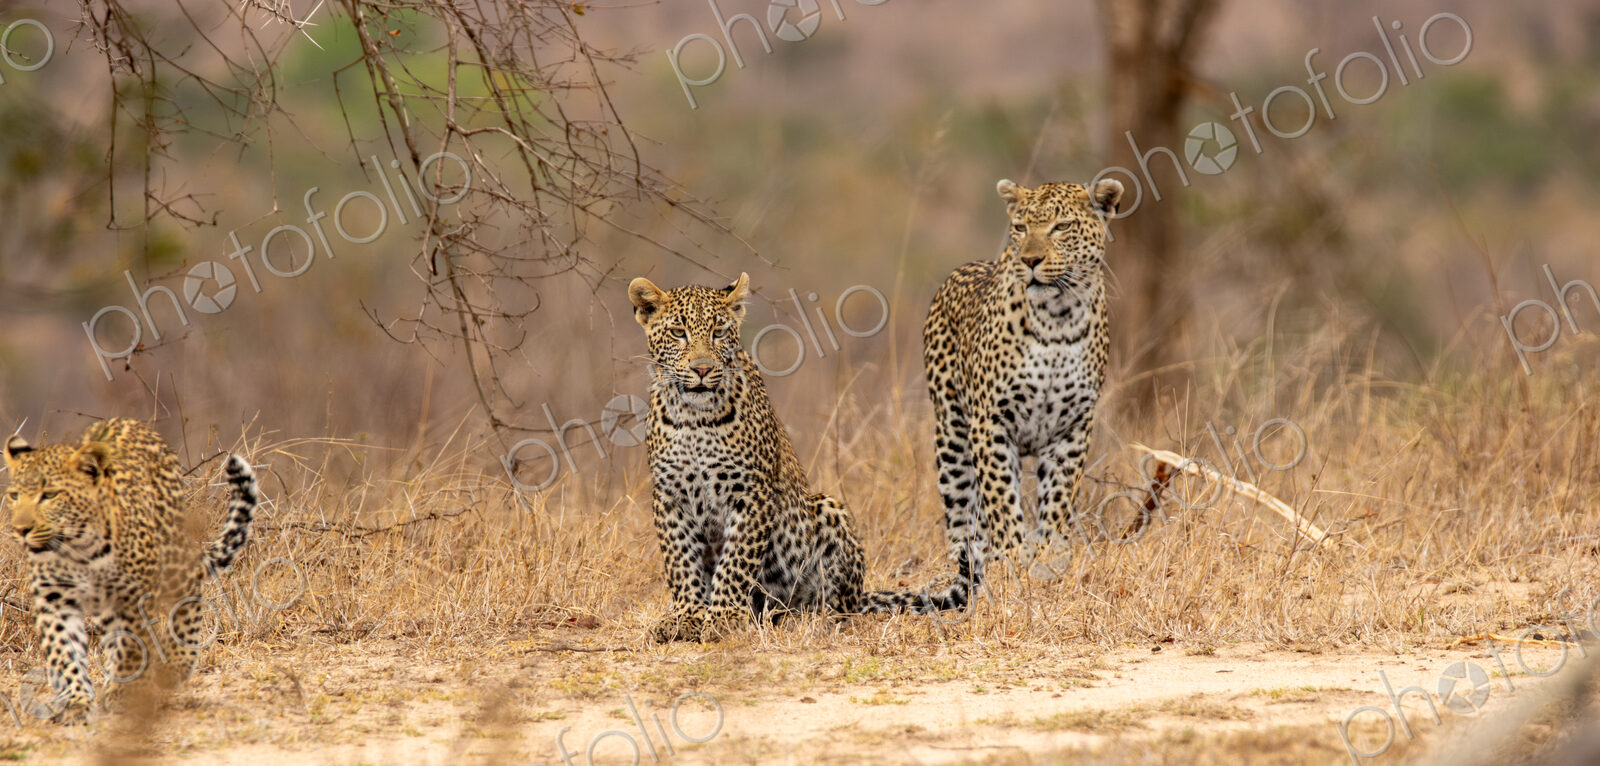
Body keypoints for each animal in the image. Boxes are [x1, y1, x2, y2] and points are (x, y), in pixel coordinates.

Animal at [1, 418, 258, 721]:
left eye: (50, 495)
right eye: (14, 496)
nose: (21, 529)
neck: (80, 550)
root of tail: (132, 423)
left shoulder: (134, 597)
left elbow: (131, 646)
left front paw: (122, 692)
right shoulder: (55, 599)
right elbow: (64, 653)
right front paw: (75, 701)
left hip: (172, 554)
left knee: (189, 594)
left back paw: (176, 664)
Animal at [629, 273, 966, 643]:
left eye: (718, 331)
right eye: (678, 332)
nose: (702, 369)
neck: (695, 418)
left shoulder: (751, 493)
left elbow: (735, 562)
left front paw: (723, 618)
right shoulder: (670, 496)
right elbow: (681, 562)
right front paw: (687, 617)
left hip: (827, 509)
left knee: (835, 606)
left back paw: (806, 620)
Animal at [922, 177, 1124, 588]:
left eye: (1061, 227)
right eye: (1020, 227)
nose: (1030, 261)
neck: (1059, 318)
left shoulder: (1073, 427)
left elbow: (1058, 497)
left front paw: (1048, 554)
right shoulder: (991, 422)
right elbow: (1001, 498)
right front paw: (1014, 558)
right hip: (952, 434)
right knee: (961, 508)